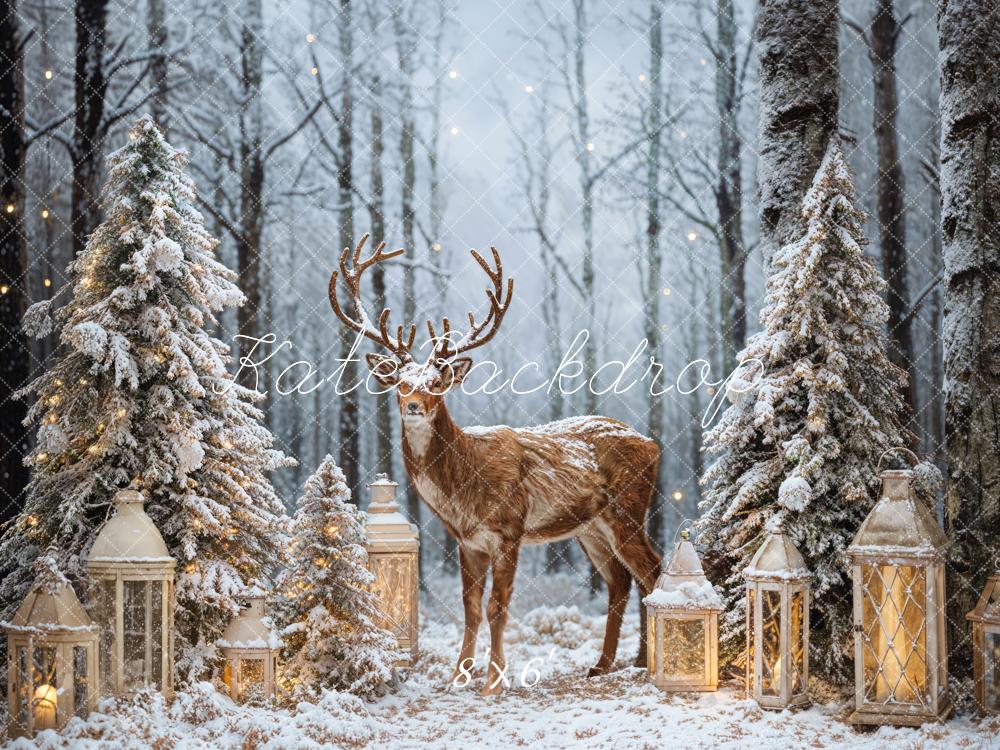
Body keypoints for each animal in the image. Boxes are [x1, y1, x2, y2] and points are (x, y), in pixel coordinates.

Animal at [330, 236, 664, 700]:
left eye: (437, 383)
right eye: (400, 383)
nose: (414, 406)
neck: (463, 490)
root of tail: (652, 444)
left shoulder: (509, 529)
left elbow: (497, 606)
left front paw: (493, 680)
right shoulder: (466, 541)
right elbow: (470, 607)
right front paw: (456, 677)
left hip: (628, 506)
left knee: (651, 569)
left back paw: (646, 662)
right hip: (590, 527)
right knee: (620, 579)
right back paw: (608, 663)